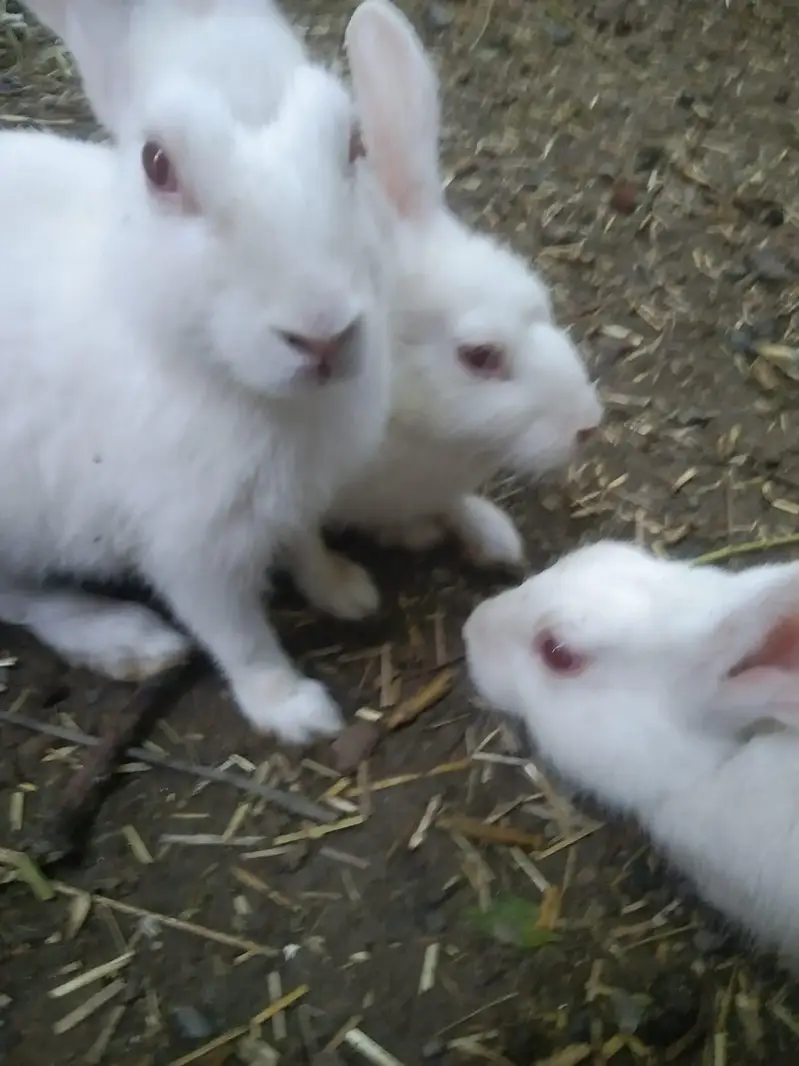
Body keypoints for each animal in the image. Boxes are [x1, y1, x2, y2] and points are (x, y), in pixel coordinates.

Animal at [0, 39, 392, 743]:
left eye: (354, 145)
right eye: (158, 166)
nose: (323, 336)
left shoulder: (293, 499)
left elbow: (305, 542)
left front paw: (346, 589)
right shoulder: (190, 549)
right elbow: (239, 636)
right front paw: (296, 712)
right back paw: (131, 641)